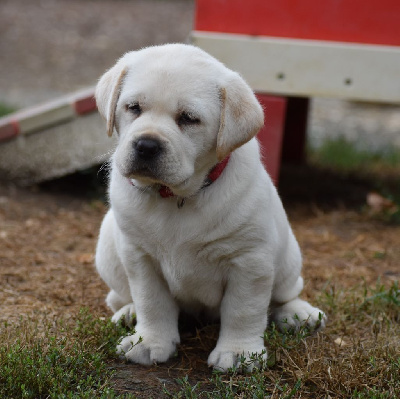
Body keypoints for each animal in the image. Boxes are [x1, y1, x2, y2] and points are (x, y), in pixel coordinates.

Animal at [94, 43, 324, 372]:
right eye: (133, 107)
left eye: (189, 118)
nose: (146, 145)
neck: (177, 198)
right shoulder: (139, 257)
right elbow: (152, 302)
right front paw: (150, 341)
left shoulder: (249, 260)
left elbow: (244, 310)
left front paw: (239, 353)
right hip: (109, 249)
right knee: (120, 297)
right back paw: (128, 312)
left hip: (289, 257)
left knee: (284, 293)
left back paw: (298, 314)